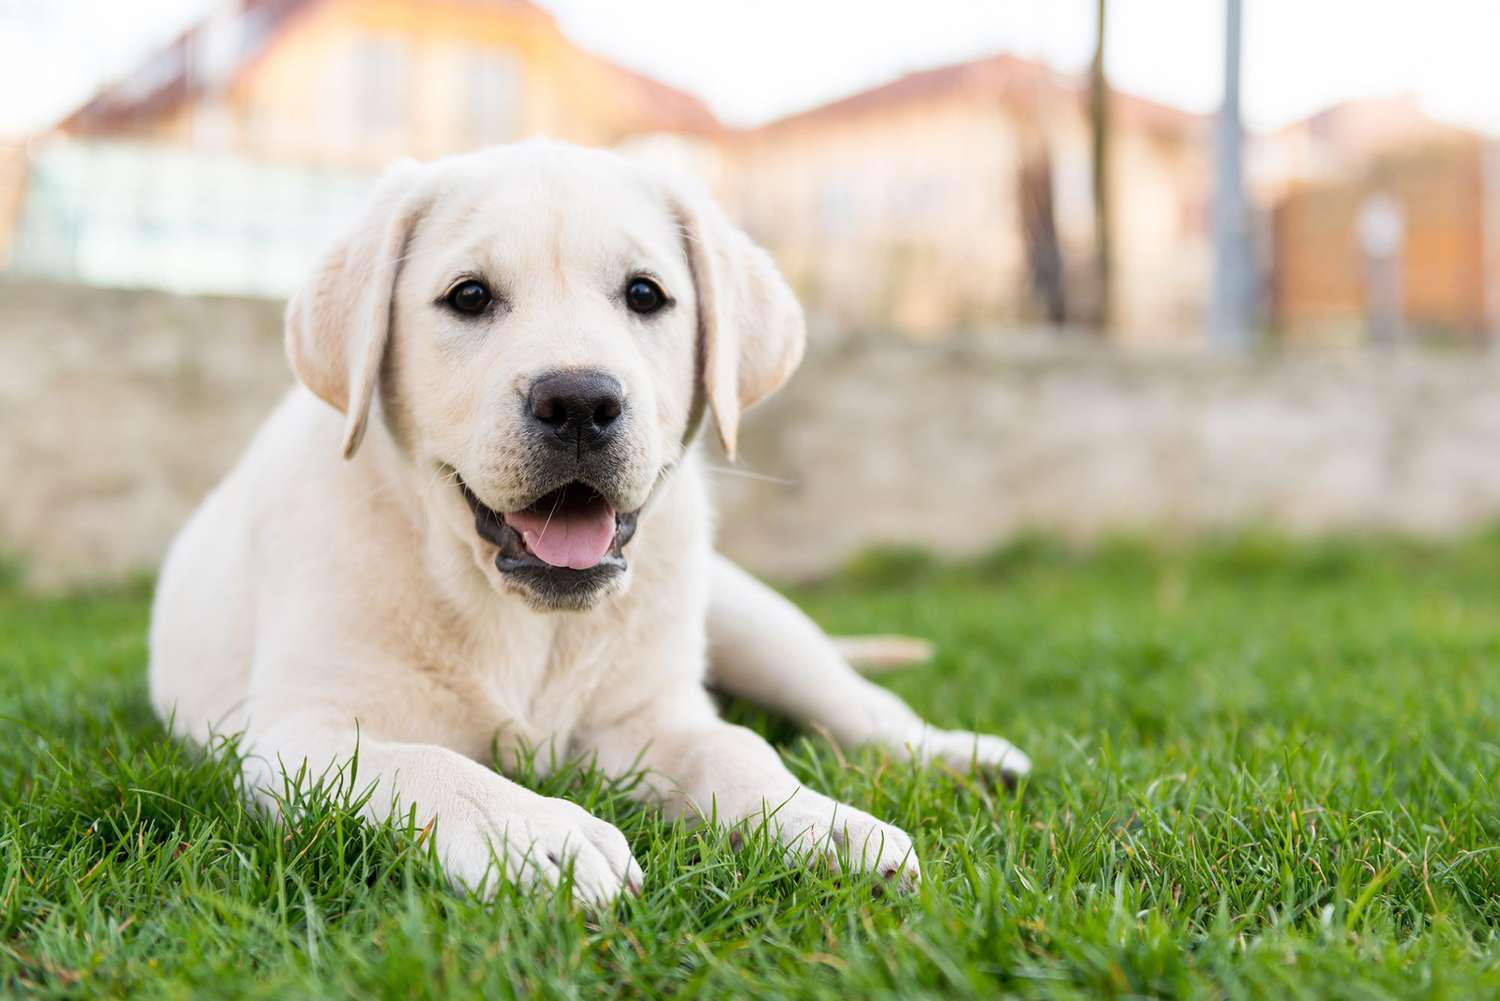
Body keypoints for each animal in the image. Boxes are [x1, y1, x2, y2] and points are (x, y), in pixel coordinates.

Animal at [152, 137, 1032, 906]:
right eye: (469, 296)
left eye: (645, 294)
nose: (578, 400)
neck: (519, 614)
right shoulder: (302, 734)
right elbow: (426, 763)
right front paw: (533, 831)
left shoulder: (647, 717)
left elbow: (734, 745)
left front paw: (820, 821)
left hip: (750, 616)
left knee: (855, 704)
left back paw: (954, 753)